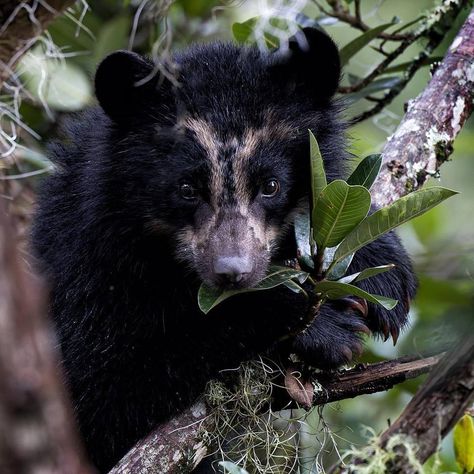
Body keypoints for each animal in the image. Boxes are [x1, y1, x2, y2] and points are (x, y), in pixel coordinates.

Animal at [31, 28, 416, 474]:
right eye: (186, 188)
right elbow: (101, 391)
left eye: (270, 186)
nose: (232, 272)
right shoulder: (90, 275)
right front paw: (322, 327)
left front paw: (387, 275)